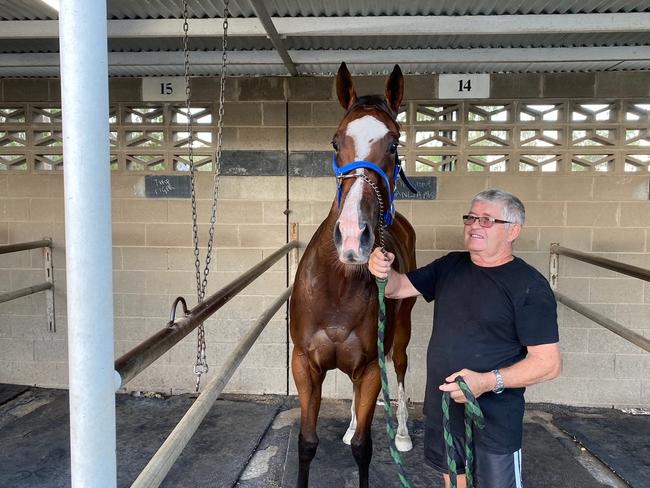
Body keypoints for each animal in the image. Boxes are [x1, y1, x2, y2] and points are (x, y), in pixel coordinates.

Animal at [288, 62, 416, 488]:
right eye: (334, 142)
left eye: (393, 144)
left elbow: (364, 447)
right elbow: (307, 443)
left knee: (402, 368)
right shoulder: (304, 365)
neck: (338, 284)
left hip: (402, 333)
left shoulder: (372, 368)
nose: (351, 236)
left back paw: (403, 434)